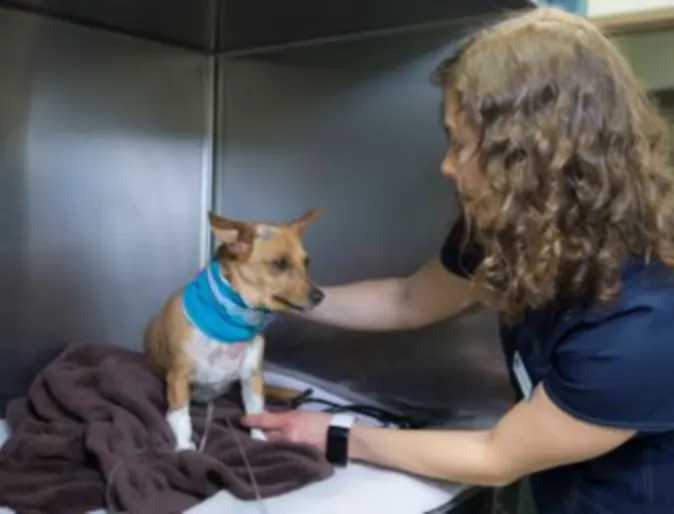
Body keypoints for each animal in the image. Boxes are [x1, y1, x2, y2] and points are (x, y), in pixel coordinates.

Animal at [144, 208, 326, 448]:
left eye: (307, 262)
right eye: (280, 263)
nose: (320, 296)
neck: (227, 328)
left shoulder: (251, 377)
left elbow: (256, 412)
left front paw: (259, 439)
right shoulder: (178, 379)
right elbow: (181, 417)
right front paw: (184, 447)